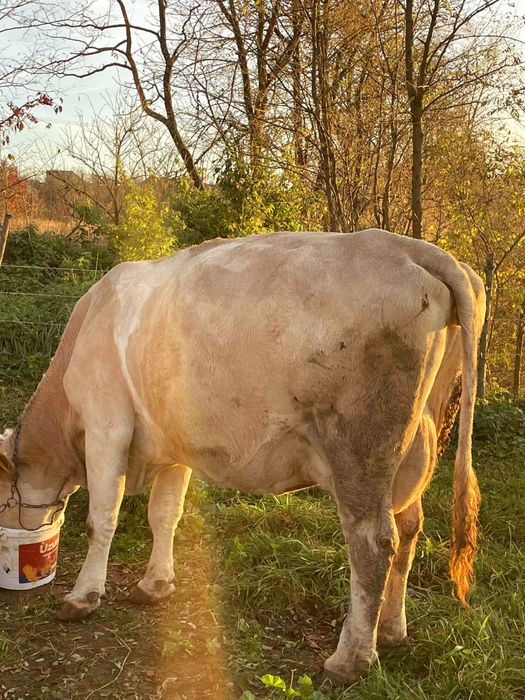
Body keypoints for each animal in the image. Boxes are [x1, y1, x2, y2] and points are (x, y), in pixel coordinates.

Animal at [0, 229, 485, 684]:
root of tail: (407, 247)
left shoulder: (106, 424)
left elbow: (100, 519)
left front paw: (82, 597)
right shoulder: (173, 443)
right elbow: (165, 514)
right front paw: (155, 584)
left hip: (360, 447)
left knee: (374, 543)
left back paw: (349, 659)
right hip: (414, 451)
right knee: (410, 527)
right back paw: (391, 629)